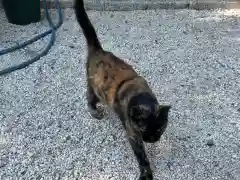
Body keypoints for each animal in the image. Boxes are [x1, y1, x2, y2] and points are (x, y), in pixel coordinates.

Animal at [73, 0, 171, 179]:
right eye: (143, 128)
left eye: (160, 127)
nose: (152, 138)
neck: (140, 95)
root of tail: (99, 50)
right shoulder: (133, 134)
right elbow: (141, 156)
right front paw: (146, 173)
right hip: (95, 88)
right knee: (89, 97)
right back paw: (94, 111)